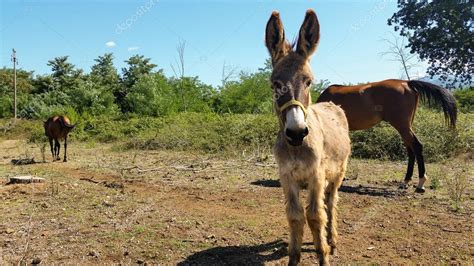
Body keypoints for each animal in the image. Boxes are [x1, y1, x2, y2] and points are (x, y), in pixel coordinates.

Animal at [266, 9, 352, 264]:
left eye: (308, 81)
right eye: (275, 84)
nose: (296, 132)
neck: (296, 148)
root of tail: (331, 104)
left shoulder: (317, 175)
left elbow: (315, 216)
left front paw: (323, 254)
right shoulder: (286, 176)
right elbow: (295, 216)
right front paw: (293, 256)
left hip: (337, 173)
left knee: (330, 203)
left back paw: (331, 241)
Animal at [316, 79, 458, 193]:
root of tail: (407, 83)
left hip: (402, 126)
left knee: (416, 146)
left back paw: (420, 183)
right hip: (405, 127)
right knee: (410, 149)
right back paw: (405, 182)